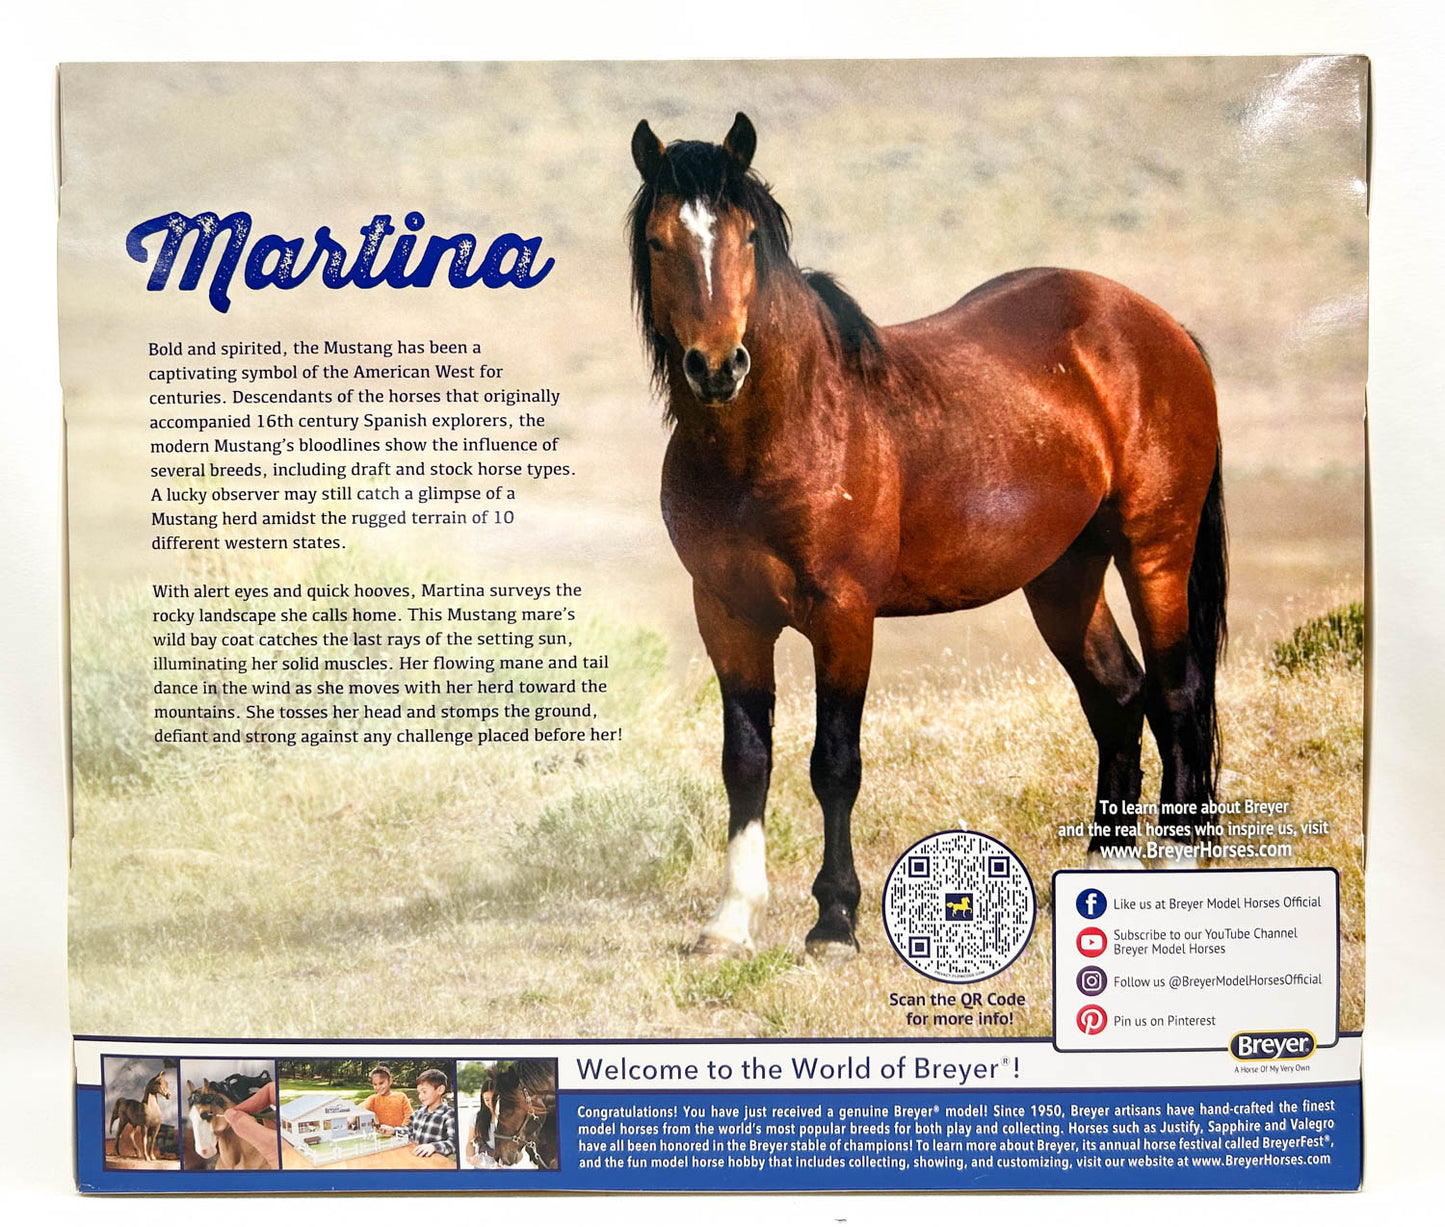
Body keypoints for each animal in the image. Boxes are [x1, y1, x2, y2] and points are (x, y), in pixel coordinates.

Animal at [628, 113, 1227, 962]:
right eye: (657, 240)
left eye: (745, 236)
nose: (717, 366)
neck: (787, 428)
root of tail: (1160, 326)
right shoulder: (727, 614)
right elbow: (745, 761)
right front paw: (731, 919)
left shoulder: (843, 616)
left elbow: (833, 763)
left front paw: (834, 921)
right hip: (1063, 575)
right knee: (1117, 693)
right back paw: (1105, 864)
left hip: (1154, 552)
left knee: (1176, 693)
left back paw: (1173, 865)